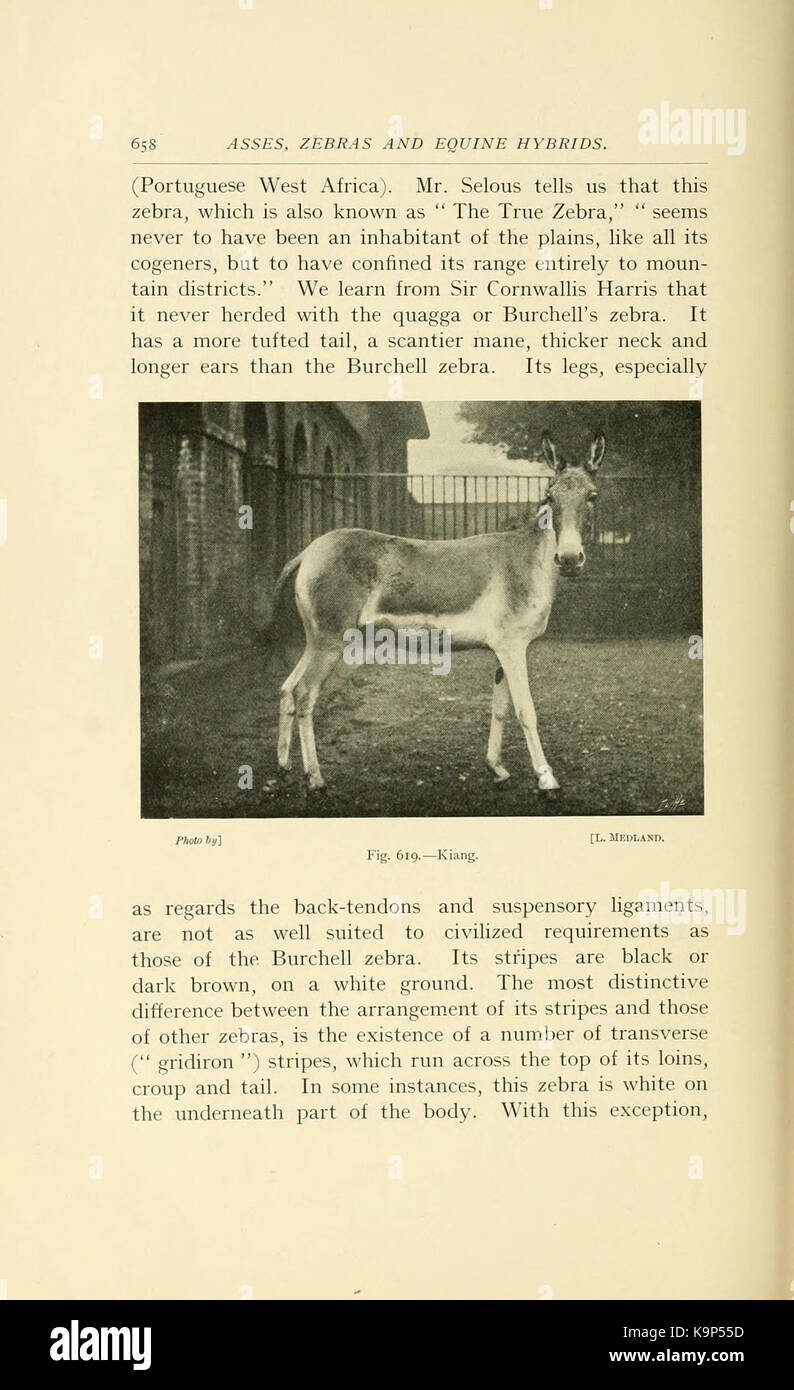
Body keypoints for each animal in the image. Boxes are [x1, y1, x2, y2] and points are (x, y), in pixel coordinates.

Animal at [268, 432, 605, 792]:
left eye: (592, 495)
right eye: (549, 496)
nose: (568, 559)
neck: (529, 561)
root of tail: (307, 552)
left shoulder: (502, 650)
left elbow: (499, 708)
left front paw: (496, 767)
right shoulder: (513, 647)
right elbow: (526, 711)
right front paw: (546, 779)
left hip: (315, 640)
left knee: (287, 688)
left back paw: (284, 766)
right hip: (330, 642)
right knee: (304, 694)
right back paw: (315, 778)